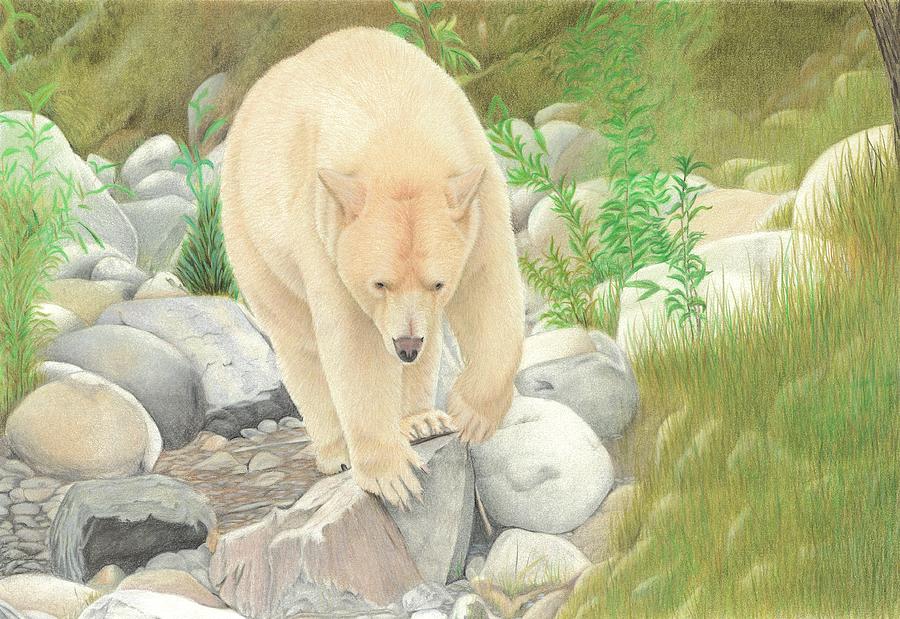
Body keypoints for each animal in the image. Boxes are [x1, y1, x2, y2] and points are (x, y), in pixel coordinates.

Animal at [221, 27, 524, 507]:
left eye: (438, 283)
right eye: (378, 283)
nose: (405, 344)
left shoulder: (479, 192)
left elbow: (487, 286)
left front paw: (470, 414)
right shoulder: (321, 226)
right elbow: (353, 340)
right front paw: (392, 475)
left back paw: (420, 419)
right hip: (251, 235)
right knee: (297, 342)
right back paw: (338, 452)